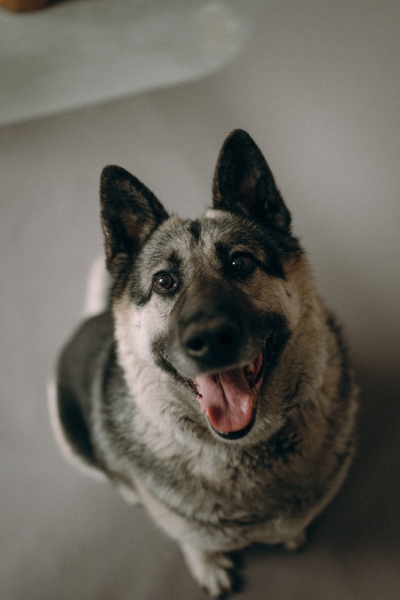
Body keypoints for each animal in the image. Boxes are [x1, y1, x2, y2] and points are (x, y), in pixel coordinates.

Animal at [50, 130, 358, 598]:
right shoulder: (182, 524)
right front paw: (207, 563)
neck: (243, 452)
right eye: (164, 281)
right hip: (69, 438)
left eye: (240, 262)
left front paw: (290, 533)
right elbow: (192, 540)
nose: (210, 339)